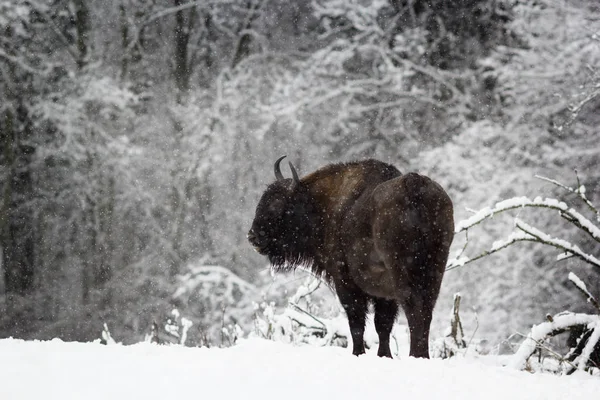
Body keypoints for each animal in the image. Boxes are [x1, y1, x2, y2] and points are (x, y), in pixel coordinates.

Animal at [248, 157, 454, 360]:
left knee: (414, 309)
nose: (252, 236)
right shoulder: (384, 294)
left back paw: (416, 355)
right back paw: (422, 355)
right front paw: (384, 355)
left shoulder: (346, 282)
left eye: (278, 205)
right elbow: (383, 325)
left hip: (403, 272)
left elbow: (357, 322)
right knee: (426, 309)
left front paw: (358, 353)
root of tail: (413, 184)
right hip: (435, 270)